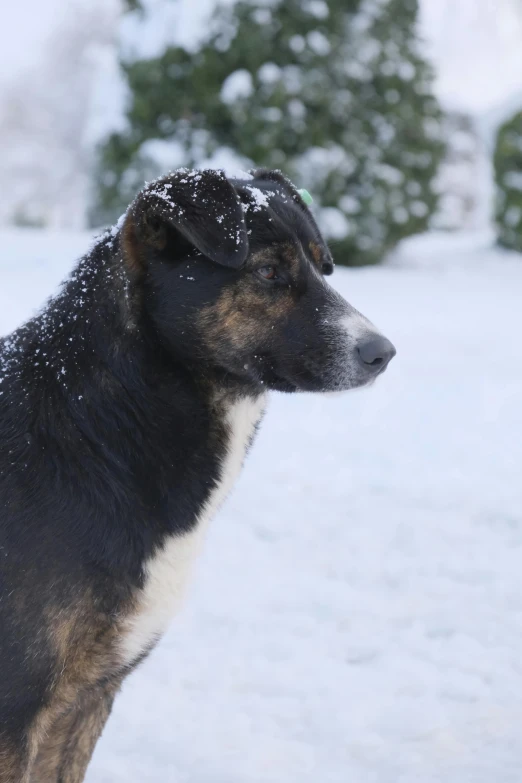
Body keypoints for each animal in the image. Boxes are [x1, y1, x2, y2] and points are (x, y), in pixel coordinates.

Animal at [0, 168, 394, 780]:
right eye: (267, 271)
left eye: (322, 265)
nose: (384, 353)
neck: (98, 430)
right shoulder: (19, 706)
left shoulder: (88, 694)